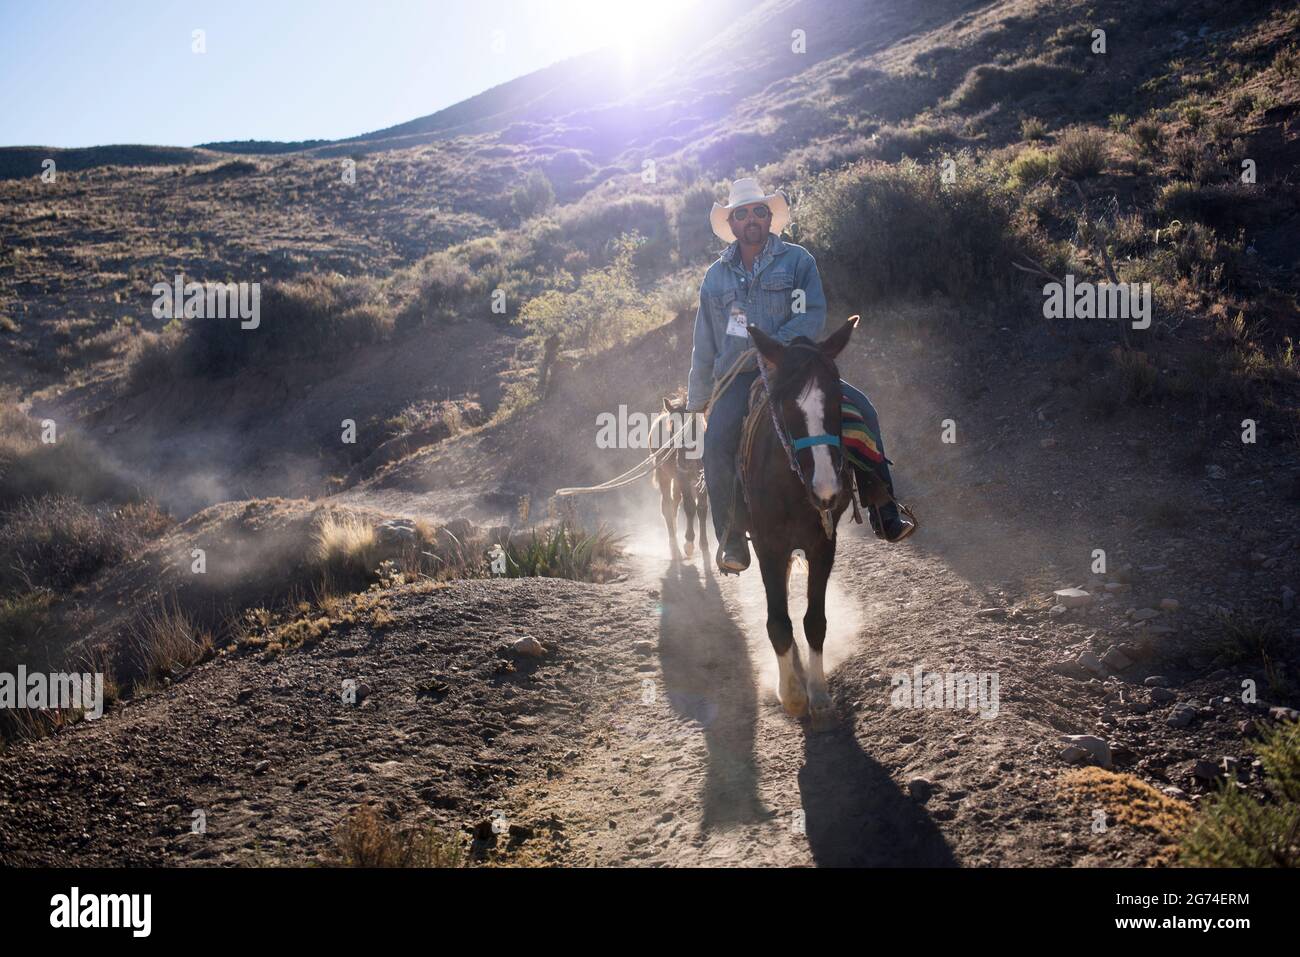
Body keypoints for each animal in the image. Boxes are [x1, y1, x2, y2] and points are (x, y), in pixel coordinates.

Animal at [655, 395, 707, 561]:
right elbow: (690, 507)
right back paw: (674, 548)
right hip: (664, 474)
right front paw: (689, 543)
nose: (684, 461)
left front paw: (704, 544)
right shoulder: (683, 478)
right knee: (667, 506)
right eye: (672, 428)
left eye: (696, 425)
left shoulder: (703, 480)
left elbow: (702, 508)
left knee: (674, 504)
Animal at [748, 315, 857, 722]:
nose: (826, 490)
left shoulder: (823, 545)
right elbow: (778, 622)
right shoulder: (768, 547)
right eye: (785, 407)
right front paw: (793, 694)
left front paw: (818, 691)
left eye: (838, 398)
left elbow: (814, 621)